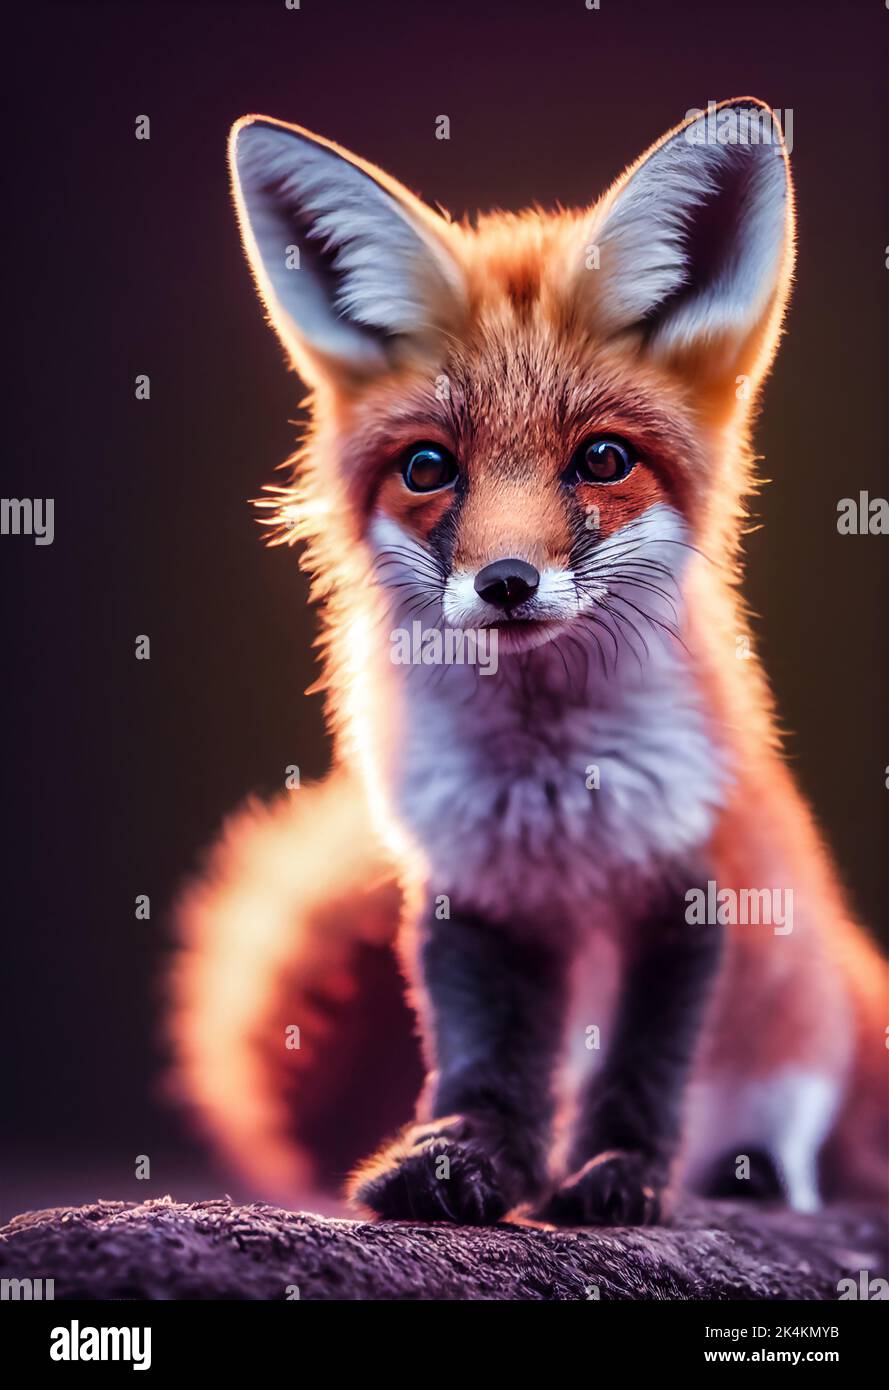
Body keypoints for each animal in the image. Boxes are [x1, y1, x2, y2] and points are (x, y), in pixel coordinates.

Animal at [169, 99, 887, 1226]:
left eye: (603, 459)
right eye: (428, 467)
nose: (504, 582)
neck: (547, 786)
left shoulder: (690, 879)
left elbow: (642, 1064)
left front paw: (620, 1178)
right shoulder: (473, 886)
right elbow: (486, 1060)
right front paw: (463, 1162)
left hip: (806, 1031)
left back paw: (754, 1177)